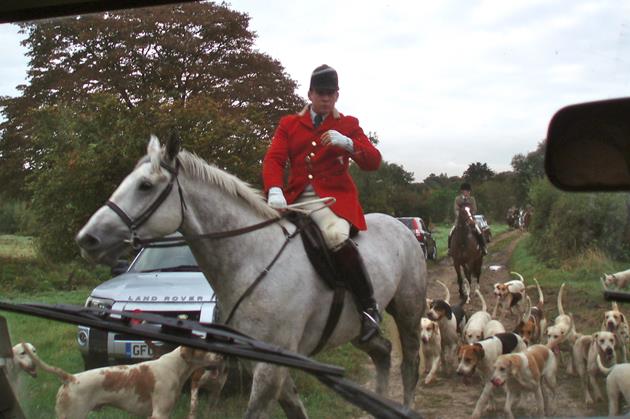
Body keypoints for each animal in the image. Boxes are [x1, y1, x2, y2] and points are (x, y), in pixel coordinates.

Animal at [75, 136, 430, 418]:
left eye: (145, 186)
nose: (88, 239)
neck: (253, 258)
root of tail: (400, 226)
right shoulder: (261, 361)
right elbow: (294, 410)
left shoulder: (269, 367)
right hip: (357, 328)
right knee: (382, 352)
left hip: (408, 313)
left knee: (409, 365)